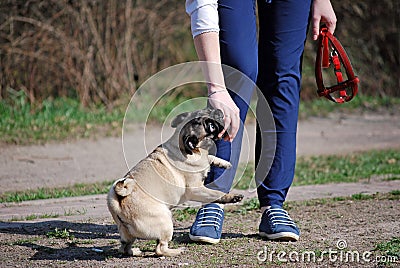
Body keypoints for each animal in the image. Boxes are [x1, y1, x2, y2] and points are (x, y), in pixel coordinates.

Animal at [107, 107, 244, 258]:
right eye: (211, 126)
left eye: (208, 110)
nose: (218, 110)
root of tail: (120, 200)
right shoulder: (196, 189)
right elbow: (216, 193)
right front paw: (232, 197)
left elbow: (210, 158)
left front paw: (224, 163)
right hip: (165, 222)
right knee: (160, 249)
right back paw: (177, 251)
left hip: (127, 233)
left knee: (124, 247)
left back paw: (135, 251)